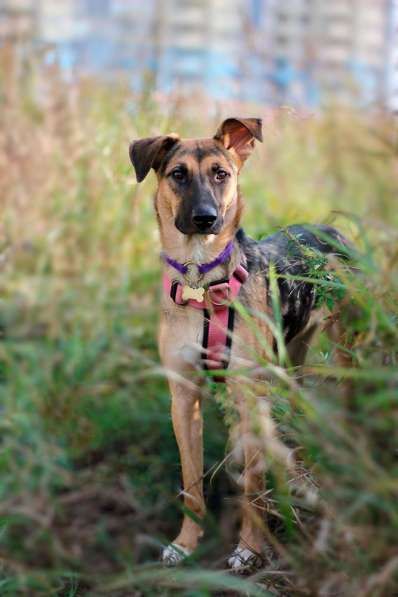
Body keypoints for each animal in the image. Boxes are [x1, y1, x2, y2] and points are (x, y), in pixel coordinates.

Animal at [129, 117, 352, 572]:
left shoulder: (249, 395)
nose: (205, 218)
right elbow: (191, 480)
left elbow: (251, 482)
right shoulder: (183, 397)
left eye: (221, 174)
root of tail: (330, 227)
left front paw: (249, 549)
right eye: (178, 174)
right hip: (290, 362)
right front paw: (186, 543)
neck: (201, 281)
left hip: (338, 351)